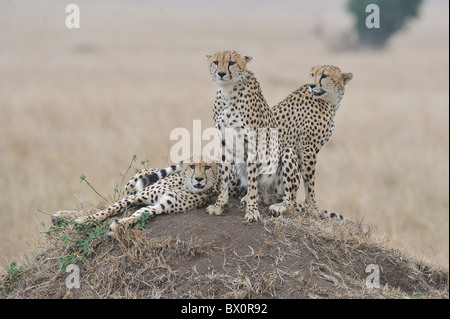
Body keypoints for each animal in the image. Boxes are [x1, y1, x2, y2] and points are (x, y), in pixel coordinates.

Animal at [206, 50, 300, 224]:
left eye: (232, 62)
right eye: (216, 62)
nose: (221, 74)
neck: (228, 92)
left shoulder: (252, 143)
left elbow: (251, 181)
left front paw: (251, 212)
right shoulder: (225, 141)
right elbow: (224, 178)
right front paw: (219, 205)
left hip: (287, 153)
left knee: (289, 201)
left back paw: (277, 206)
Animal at [272, 64, 354, 212]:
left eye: (325, 75)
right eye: (312, 75)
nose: (312, 85)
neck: (330, 102)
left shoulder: (303, 150)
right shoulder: (308, 148)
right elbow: (309, 179)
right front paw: (312, 205)